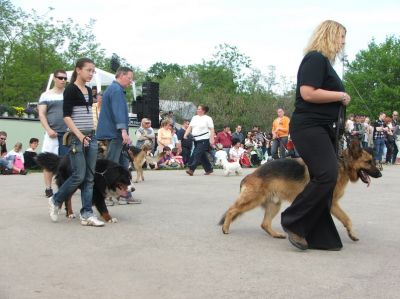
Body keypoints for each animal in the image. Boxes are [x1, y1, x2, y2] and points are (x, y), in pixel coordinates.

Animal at [220, 139, 382, 243]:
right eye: (368, 162)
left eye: (373, 161)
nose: (380, 174)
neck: (342, 164)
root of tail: (250, 175)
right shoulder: (332, 203)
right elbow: (347, 218)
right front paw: (352, 233)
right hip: (252, 200)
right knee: (232, 210)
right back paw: (225, 228)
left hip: (274, 204)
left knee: (264, 224)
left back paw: (276, 234)